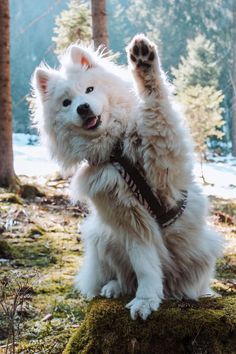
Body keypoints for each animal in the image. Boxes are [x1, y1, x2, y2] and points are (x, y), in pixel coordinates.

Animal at [32, 34, 222, 320]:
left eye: (89, 90)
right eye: (66, 103)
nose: (83, 108)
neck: (115, 149)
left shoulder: (162, 156)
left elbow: (155, 105)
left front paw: (143, 61)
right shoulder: (128, 220)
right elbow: (144, 266)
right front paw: (145, 300)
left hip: (202, 250)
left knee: (182, 283)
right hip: (102, 236)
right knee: (126, 277)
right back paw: (114, 287)